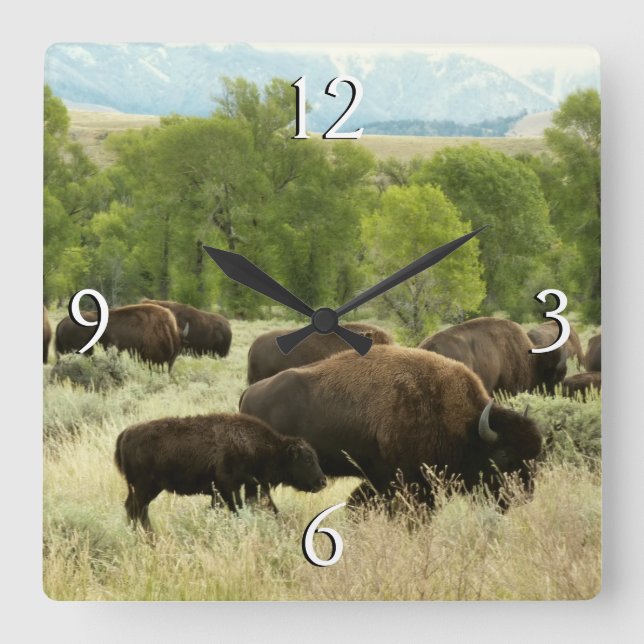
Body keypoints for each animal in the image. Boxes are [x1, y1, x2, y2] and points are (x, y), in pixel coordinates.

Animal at [114, 412, 327, 531]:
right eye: (307, 459)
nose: (322, 481)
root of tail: (126, 433)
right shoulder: (229, 488)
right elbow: (237, 509)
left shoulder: (246, 487)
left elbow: (271, 509)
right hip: (144, 488)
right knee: (136, 509)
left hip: (145, 489)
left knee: (136, 510)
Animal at [240, 345, 542, 508]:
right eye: (503, 455)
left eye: (535, 456)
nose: (524, 496)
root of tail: (249, 393)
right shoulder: (409, 480)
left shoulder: (382, 478)